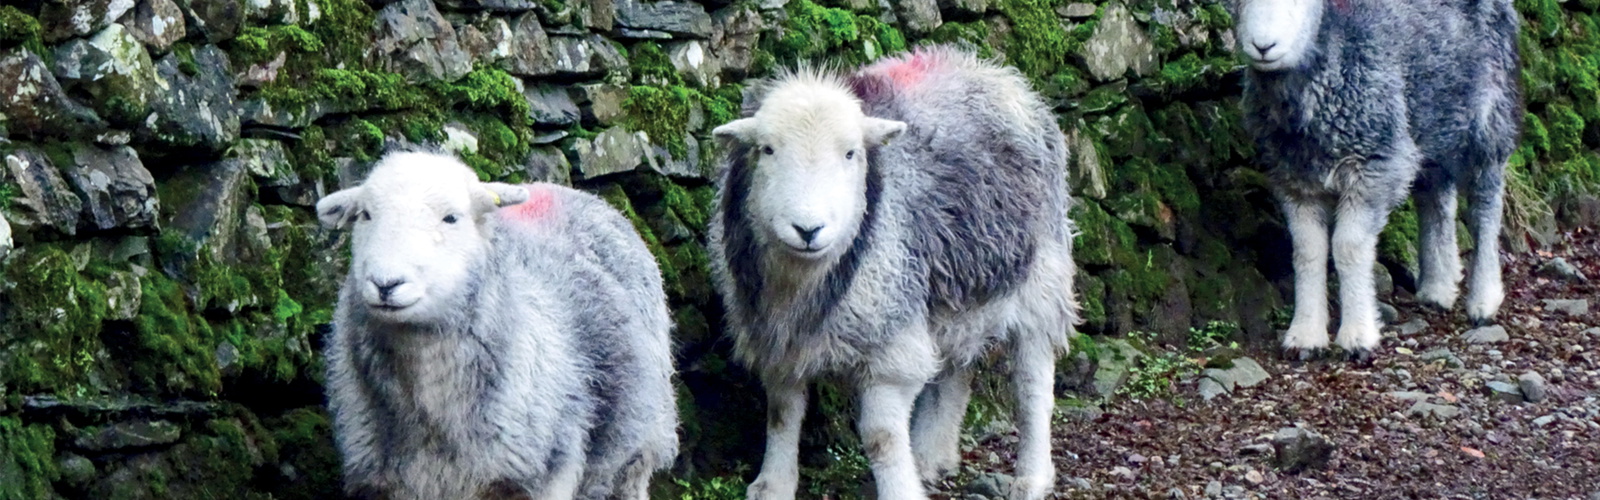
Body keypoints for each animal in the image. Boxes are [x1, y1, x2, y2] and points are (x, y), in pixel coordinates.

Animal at [315, 151, 678, 500]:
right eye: (365, 214)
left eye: (451, 218)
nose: (386, 283)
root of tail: (566, 190)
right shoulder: (381, 483)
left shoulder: (539, 474)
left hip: (639, 443)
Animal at [708, 47, 1077, 500]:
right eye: (767, 150)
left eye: (852, 153)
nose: (808, 229)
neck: (801, 282)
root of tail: (993, 70)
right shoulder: (777, 339)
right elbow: (782, 413)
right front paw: (773, 484)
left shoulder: (890, 347)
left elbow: (880, 437)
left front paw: (900, 488)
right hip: (950, 288)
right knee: (954, 371)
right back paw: (932, 457)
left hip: (1041, 278)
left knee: (1032, 386)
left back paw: (1032, 476)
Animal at [1233, 0, 1521, 361]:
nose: (1262, 46)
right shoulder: (1293, 178)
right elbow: (1307, 250)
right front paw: (1305, 335)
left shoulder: (1374, 166)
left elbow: (1348, 247)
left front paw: (1358, 335)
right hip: (1428, 121)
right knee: (1437, 198)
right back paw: (1438, 288)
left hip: (1489, 114)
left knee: (1485, 206)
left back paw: (1483, 299)